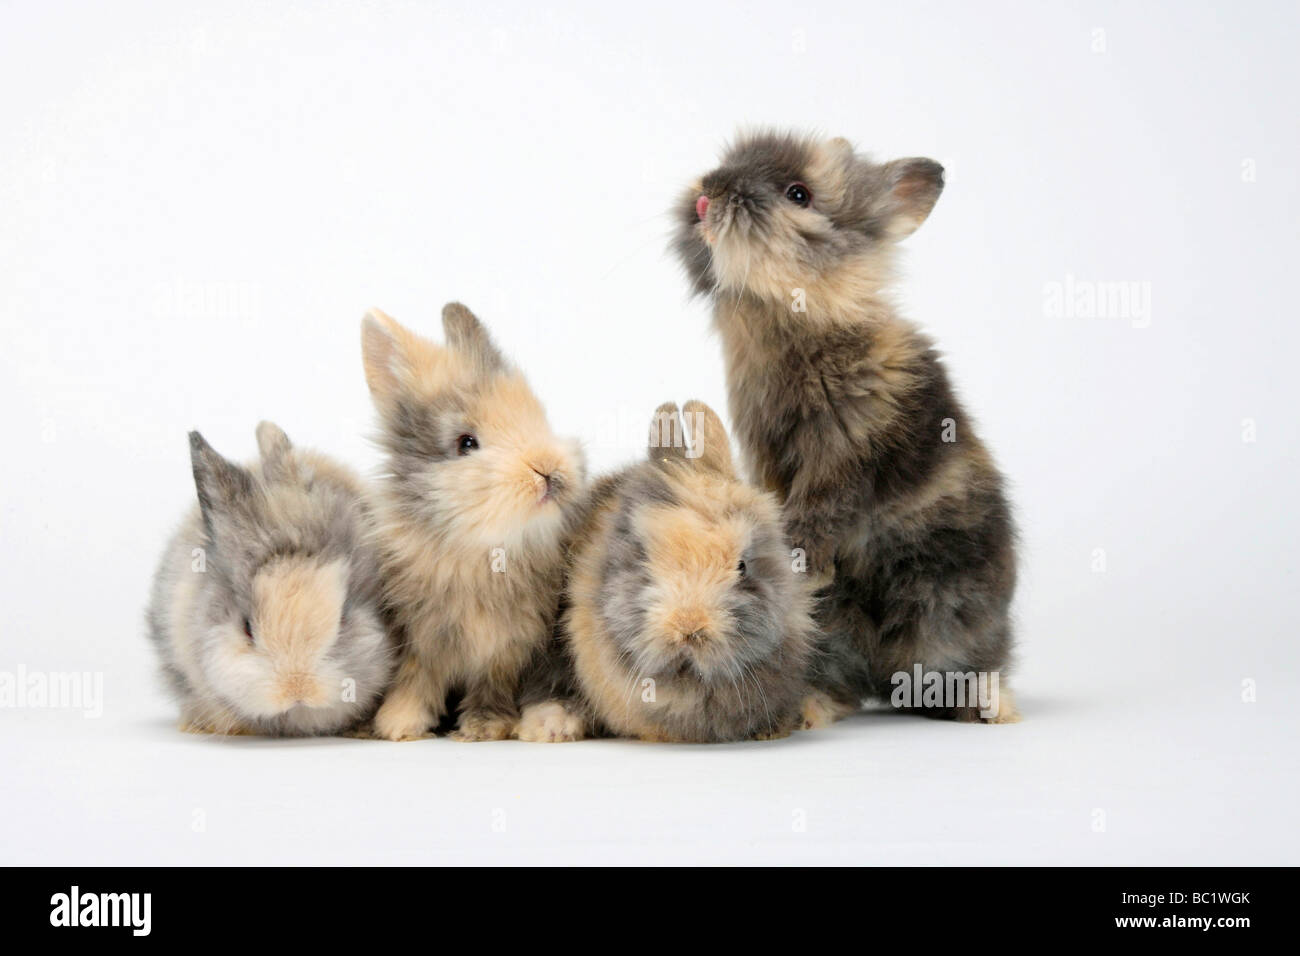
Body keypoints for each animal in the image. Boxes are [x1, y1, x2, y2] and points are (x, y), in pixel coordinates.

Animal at [358, 303, 587, 743]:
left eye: (537, 415)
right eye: (466, 443)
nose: (548, 470)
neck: (480, 550)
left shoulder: (507, 648)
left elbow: (491, 685)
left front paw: (485, 726)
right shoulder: (420, 638)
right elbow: (417, 678)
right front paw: (399, 724)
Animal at [676, 130, 1019, 723]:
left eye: (799, 194)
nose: (706, 195)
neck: (796, 318)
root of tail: (885, 677)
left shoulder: (846, 450)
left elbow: (824, 509)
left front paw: (800, 563)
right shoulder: (769, 455)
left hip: (946, 607)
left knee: (957, 667)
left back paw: (991, 707)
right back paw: (812, 706)